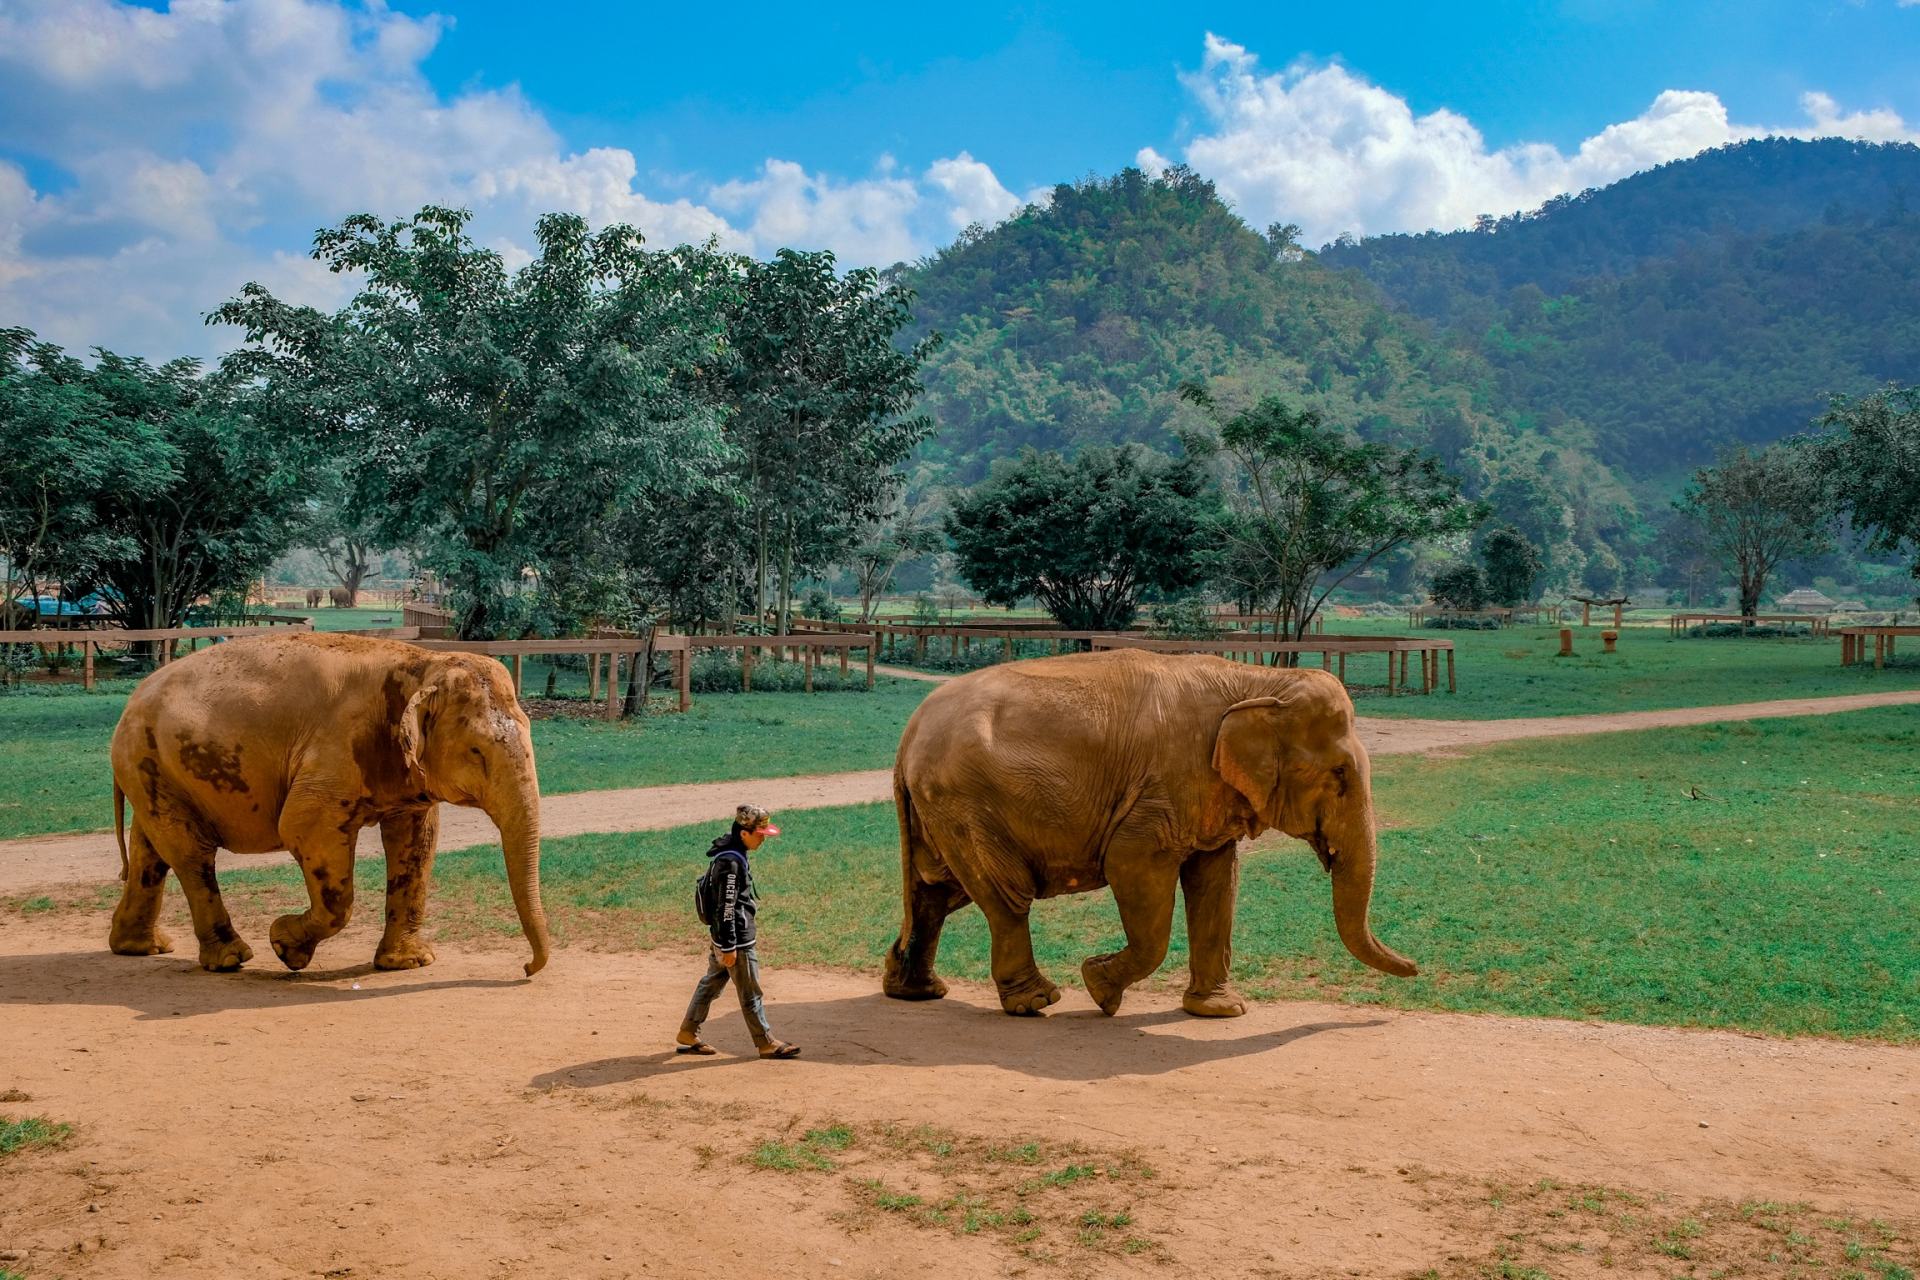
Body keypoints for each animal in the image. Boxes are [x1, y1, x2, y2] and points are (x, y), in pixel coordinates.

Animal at [107, 631, 550, 976]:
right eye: (477, 752)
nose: (526, 968)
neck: (422, 664)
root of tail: (131, 701)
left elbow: (417, 842)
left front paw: (409, 963)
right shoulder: (336, 752)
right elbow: (301, 828)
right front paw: (284, 946)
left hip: (154, 770)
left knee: (152, 851)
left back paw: (141, 948)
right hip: (150, 761)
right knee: (191, 854)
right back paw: (231, 958)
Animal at [882, 649, 1416, 1018]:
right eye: (1340, 775)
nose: (1417, 968)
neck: (1256, 680)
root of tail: (907, 734)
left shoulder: (1206, 795)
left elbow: (1217, 881)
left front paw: (1220, 1011)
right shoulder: (1162, 790)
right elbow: (1133, 868)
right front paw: (1099, 989)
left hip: (941, 811)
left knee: (935, 893)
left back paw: (916, 993)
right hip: (965, 804)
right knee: (1005, 897)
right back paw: (1037, 1002)